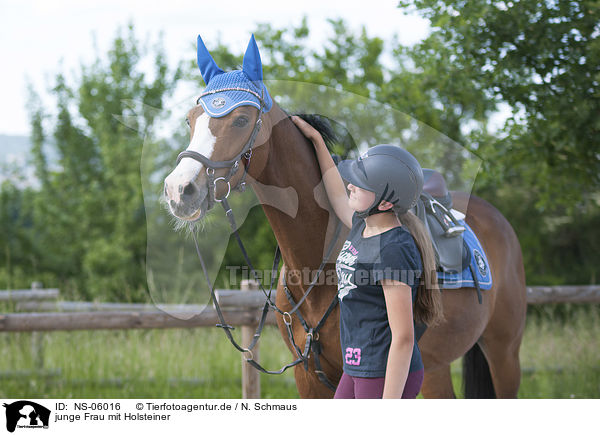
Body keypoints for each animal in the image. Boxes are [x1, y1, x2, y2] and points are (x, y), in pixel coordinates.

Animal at [163, 35, 524, 400]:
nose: (180, 189)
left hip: (501, 353)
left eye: (239, 120)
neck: (314, 266)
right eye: (190, 119)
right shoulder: (309, 380)